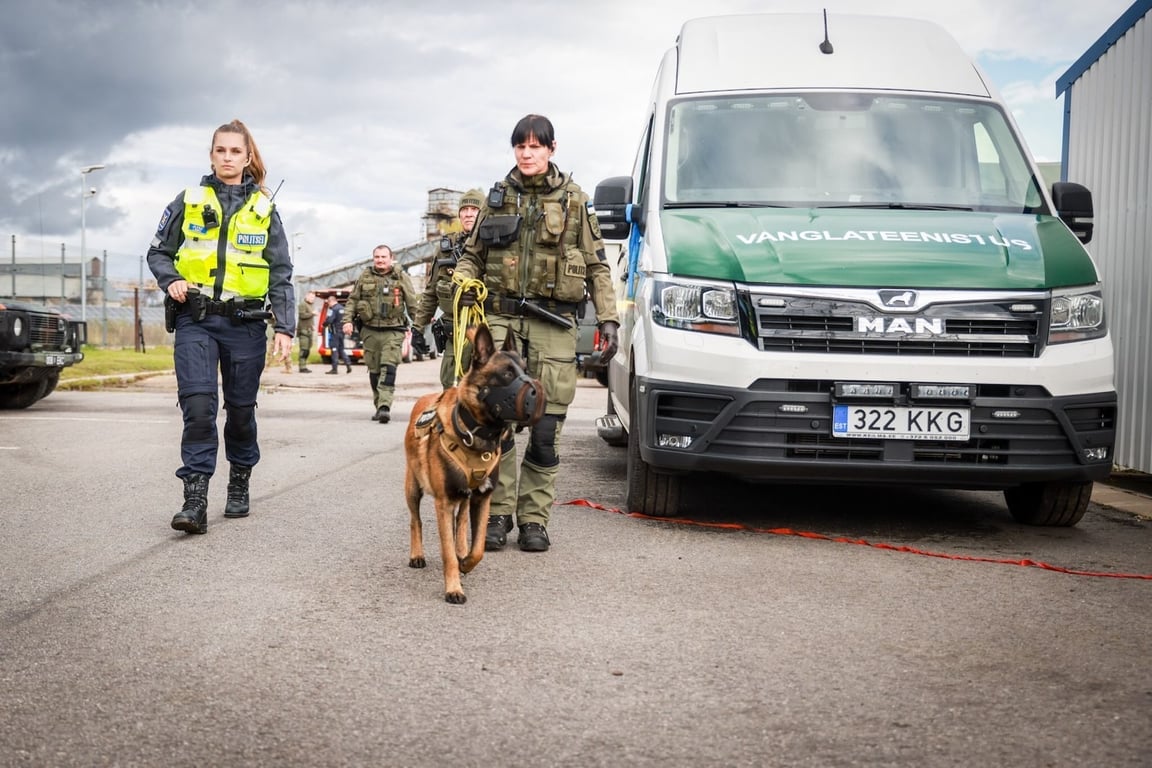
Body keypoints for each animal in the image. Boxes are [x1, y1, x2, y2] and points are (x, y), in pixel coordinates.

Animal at [403, 322, 546, 603]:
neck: (475, 432)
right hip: (413, 489)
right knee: (416, 521)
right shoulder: (443, 503)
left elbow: (478, 545)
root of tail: (425, 397)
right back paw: (417, 555)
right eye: (506, 373)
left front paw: (466, 562)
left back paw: (461, 551)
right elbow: (447, 552)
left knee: (460, 524)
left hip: (465, 499)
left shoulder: (482, 499)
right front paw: (453, 588)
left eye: (526, 370)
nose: (536, 393)